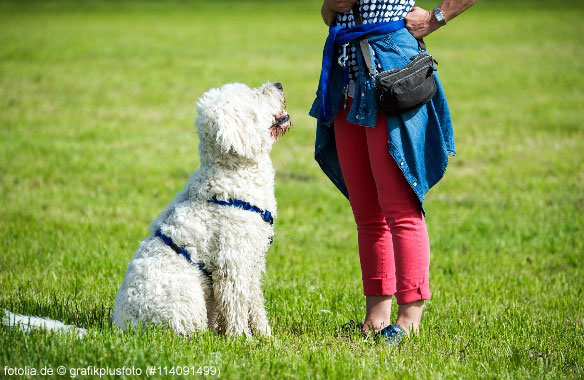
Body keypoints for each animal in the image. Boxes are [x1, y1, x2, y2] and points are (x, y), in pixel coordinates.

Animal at [111, 81, 290, 336]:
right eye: (253, 97)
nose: (278, 84)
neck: (232, 174)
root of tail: (120, 327)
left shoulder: (252, 261)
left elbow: (255, 303)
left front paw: (265, 336)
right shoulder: (232, 263)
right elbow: (236, 306)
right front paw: (242, 338)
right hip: (188, 300)